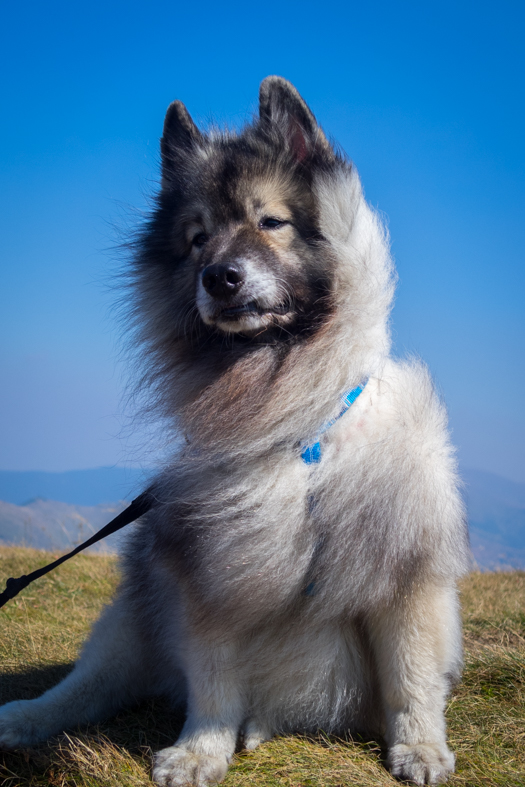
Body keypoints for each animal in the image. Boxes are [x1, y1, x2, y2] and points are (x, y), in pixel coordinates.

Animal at [0, 77, 468, 784]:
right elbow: (214, 685)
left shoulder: (404, 577)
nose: (219, 277)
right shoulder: (208, 582)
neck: (296, 425)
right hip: (132, 616)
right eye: (197, 238)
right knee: (89, 684)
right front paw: (200, 750)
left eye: (270, 222)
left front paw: (420, 748)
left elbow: (411, 679)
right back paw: (28, 716)